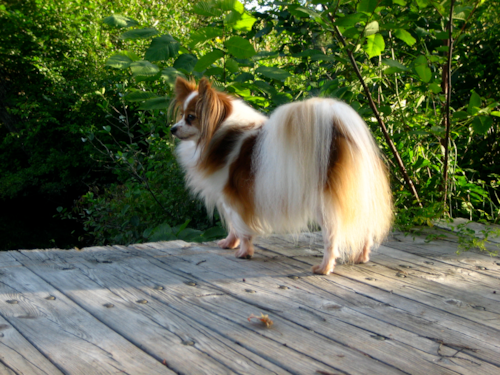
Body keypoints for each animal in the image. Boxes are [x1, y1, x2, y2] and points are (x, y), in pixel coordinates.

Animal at [172, 77, 394, 276]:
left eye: (191, 117)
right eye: (180, 115)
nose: (172, 129)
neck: (220, 133)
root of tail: (337, 133)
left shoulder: (235, 196)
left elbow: (242, 228)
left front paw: (244, 252)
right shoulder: (228, 198)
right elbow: (234, 226)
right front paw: (229, 243)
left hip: (323, 203)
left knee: (332, 238)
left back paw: (324, 268)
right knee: (365, 227)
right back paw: (362, 256)